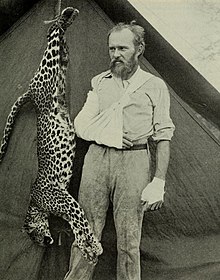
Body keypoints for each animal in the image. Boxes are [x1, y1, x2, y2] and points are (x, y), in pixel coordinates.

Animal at [0, 7, 102, 264]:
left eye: (31, 232)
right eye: (34, 239)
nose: (45, 242)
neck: (36, 205)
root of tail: (30, 93)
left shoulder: (61, 197)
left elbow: (80, 218)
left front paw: (92, 246)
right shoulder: (64, 202)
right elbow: (77, 223)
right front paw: (88, 247)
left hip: (45, 77)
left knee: (52, 41)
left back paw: (64, 15)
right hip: (60, 77)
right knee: (62, 49)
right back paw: (68, 18)